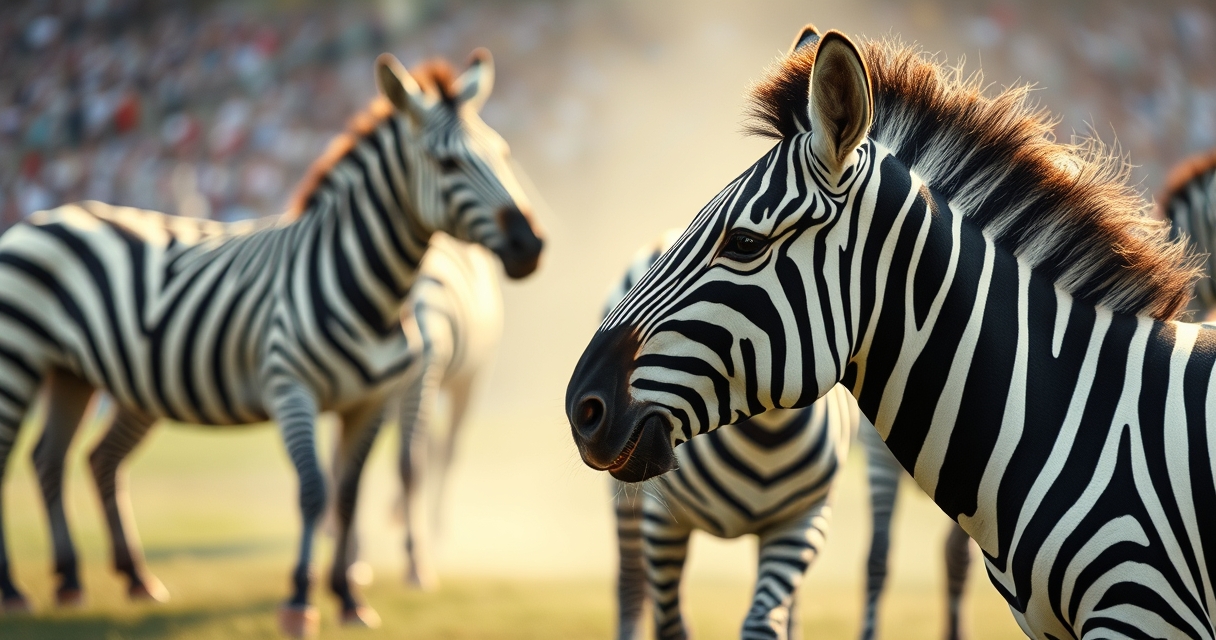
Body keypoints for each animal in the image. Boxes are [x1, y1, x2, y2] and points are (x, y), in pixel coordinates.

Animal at [0, 49, 542, 638]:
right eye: (446, 165)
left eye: (502, 154)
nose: (531, 244)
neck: (364, 284)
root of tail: (48, 214)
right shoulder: (291, 388)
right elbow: (313, 491)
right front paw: (301, 600)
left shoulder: (369, 401)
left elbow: (348, 494)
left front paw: (349, 597)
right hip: (18, 358)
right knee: (28, 459)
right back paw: (17, 590)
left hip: (82, 375)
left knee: (67, 458)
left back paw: (99, 580)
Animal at [607, 231, 861, 640]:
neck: (766, 431)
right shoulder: (663, 520)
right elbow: (671, 624)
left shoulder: (803, 519)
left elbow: (765, 622)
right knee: (630, 580)